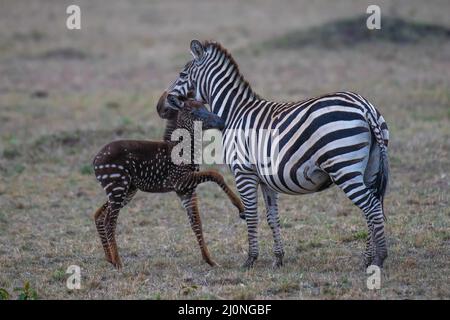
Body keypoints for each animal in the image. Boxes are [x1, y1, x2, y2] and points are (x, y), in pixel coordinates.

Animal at [92, 94, 244, 268]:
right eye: (193, 113)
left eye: (205, 108)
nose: (221, 122)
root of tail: (95, 161)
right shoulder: (180, 180)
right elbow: (216, 174)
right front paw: (240, 207)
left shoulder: (186, 190)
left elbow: (196, 223)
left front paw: (210, 260)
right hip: (117, 185)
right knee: (109, 221)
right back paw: (118, 263)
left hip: (127, 190)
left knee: (99, 215)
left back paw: (109, 259)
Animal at [159, 40, 390, 270]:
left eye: (182, 74)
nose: (159, 106)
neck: (234, 112)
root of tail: (364, 106)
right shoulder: (265, 178)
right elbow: (272, 217)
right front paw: (278, 258)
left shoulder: (243, 172)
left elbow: (251, 216)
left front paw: (250, 259)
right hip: (370, 168)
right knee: (373, 206)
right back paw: (367, 259)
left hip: (344, 167)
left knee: (371, 207)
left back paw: (379, 259)